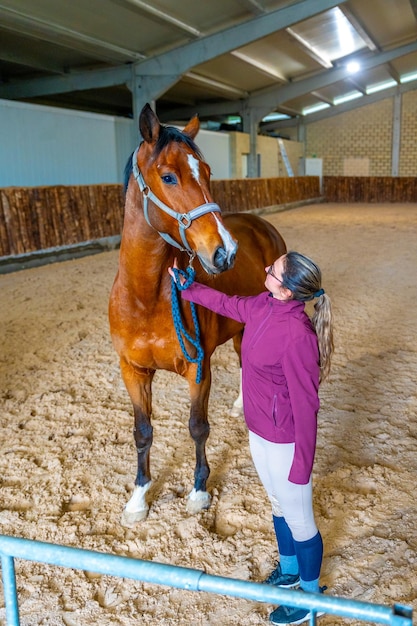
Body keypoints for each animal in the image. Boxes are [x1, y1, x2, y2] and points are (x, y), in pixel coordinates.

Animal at [107, 103, 286, 528]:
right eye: (168, 176)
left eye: (206, 172)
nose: (225, 251)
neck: (144, 298)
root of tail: (260, 224)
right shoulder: (132, 371)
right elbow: (142, 431)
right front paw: (138, 498)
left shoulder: (197, 368)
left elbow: (197, 427)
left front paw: (199, 492)